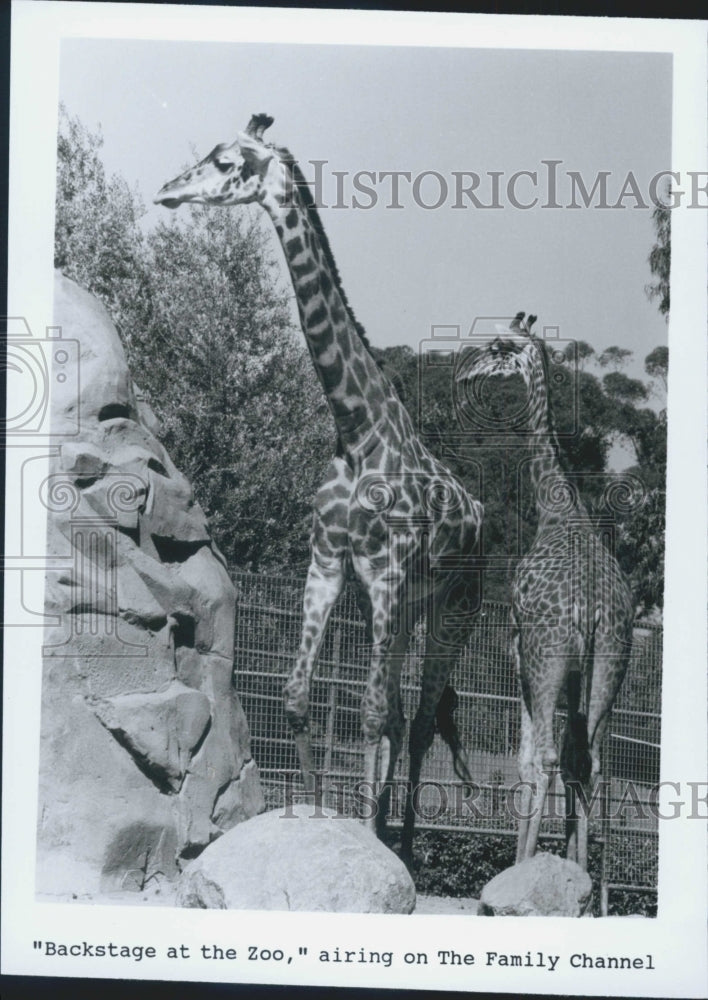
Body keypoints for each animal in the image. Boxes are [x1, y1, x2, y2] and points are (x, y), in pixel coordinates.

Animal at [156, 111, 484, 860]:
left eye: (227, 162)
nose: (166, 191)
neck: (356, 427)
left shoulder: (386, 571)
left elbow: (367, 712)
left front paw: (366, 834)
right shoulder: (331, 564)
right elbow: (300, 696)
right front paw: (310, 814)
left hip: (456, 607)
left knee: (421, 716)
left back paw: (406, 846)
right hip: (395, 609)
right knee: (402, 711)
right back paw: (389, 831)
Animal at [460, 312, 636, 868]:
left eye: (499, 346)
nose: (465, 373)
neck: (555, 504)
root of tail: (592, 610)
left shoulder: (519, 646)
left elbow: (525, 759)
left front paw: (522, 862)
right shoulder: (580, 671)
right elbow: (578, 760)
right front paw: (568, 862)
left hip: (546, 655)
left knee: (546, 756)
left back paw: (526, 865)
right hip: (611, 661)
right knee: (591, 760)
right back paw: (578, 871)